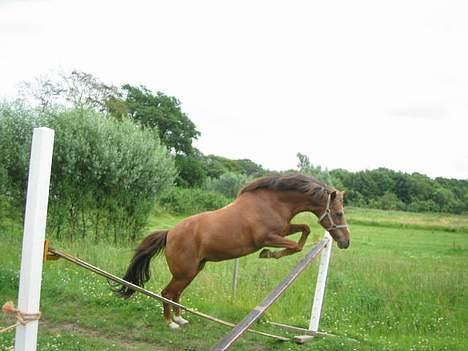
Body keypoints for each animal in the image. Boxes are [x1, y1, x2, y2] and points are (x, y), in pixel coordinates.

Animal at [114, 173, 352, 330]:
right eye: (339, 213)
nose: (346, 242)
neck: (273, 202)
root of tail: (170, 233)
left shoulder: (283, 229)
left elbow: (304, 230)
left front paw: (269, 254)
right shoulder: (266, 237)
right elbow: (295, 245)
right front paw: (267, 254)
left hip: (193, 271)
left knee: (175, 294)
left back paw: (180, 319)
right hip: (184, 272)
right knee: (167, 293)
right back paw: (170, 323)